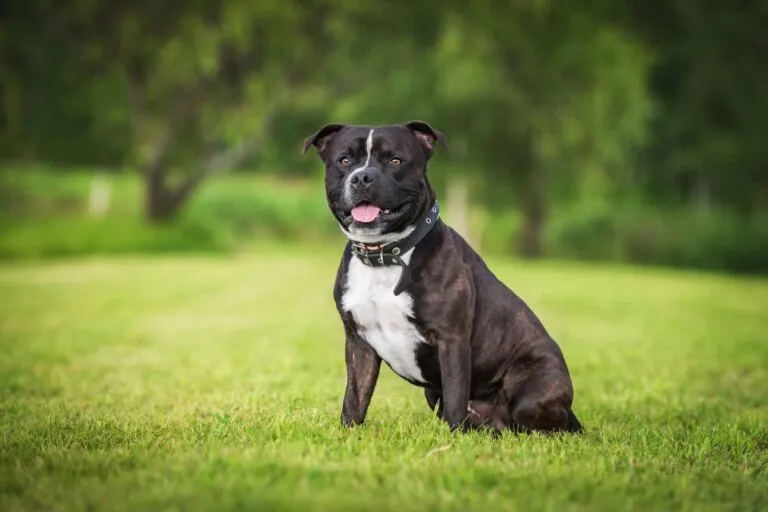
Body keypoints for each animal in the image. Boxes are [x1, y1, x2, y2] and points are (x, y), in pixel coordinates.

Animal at [300, 122, 584, 434]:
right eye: (344, 161)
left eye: (395, 161)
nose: (362, 177)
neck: (386, 255)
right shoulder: (358, 343)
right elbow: (354, 397)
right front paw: (349, 431)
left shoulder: (452, 340)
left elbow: (456, 396)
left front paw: (454, 437)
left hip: (534, 388)